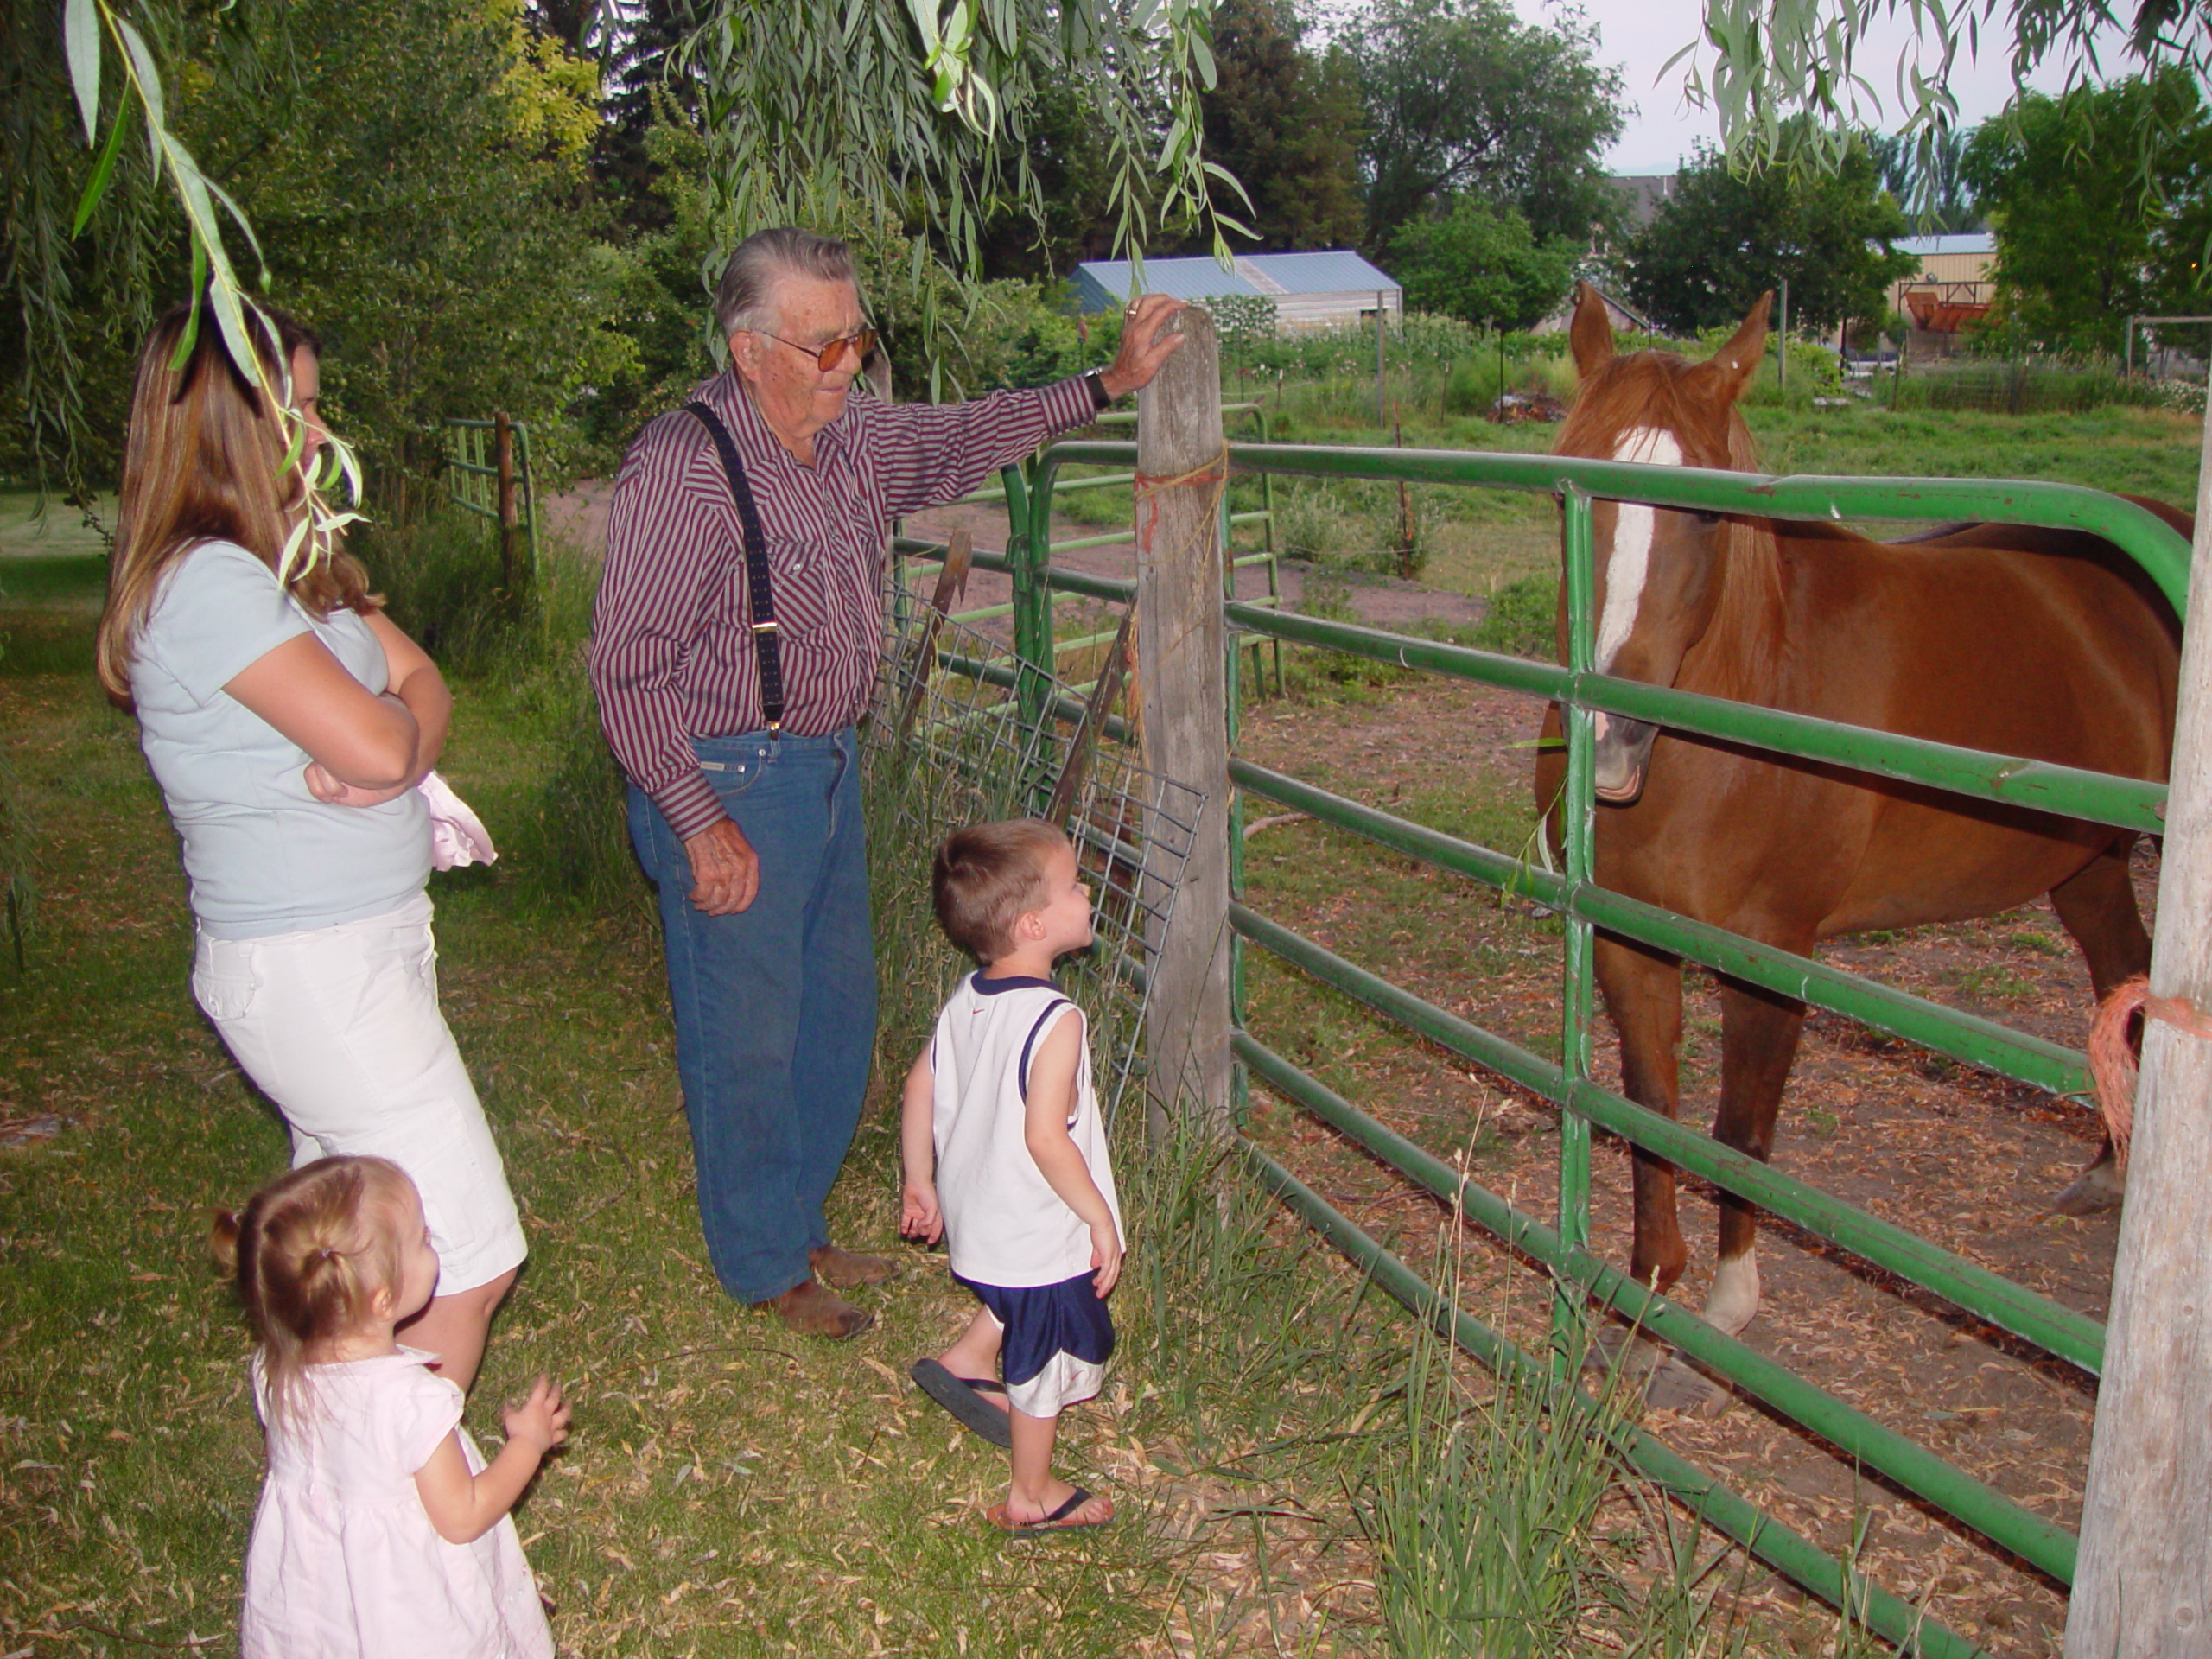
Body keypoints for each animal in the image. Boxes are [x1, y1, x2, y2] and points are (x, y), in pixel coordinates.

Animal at [1539, 285, 2177, 1353]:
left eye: (1707, 511)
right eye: (1562, 494)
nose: (1610, 743)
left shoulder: (1769, 953)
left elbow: (1738, 1130)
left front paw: (1729, 1301)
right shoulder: (1630, 936)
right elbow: (1649, 1103)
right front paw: (1649, 1280)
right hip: (2087, 863)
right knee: (2117, 972)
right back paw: (2109, 1171)